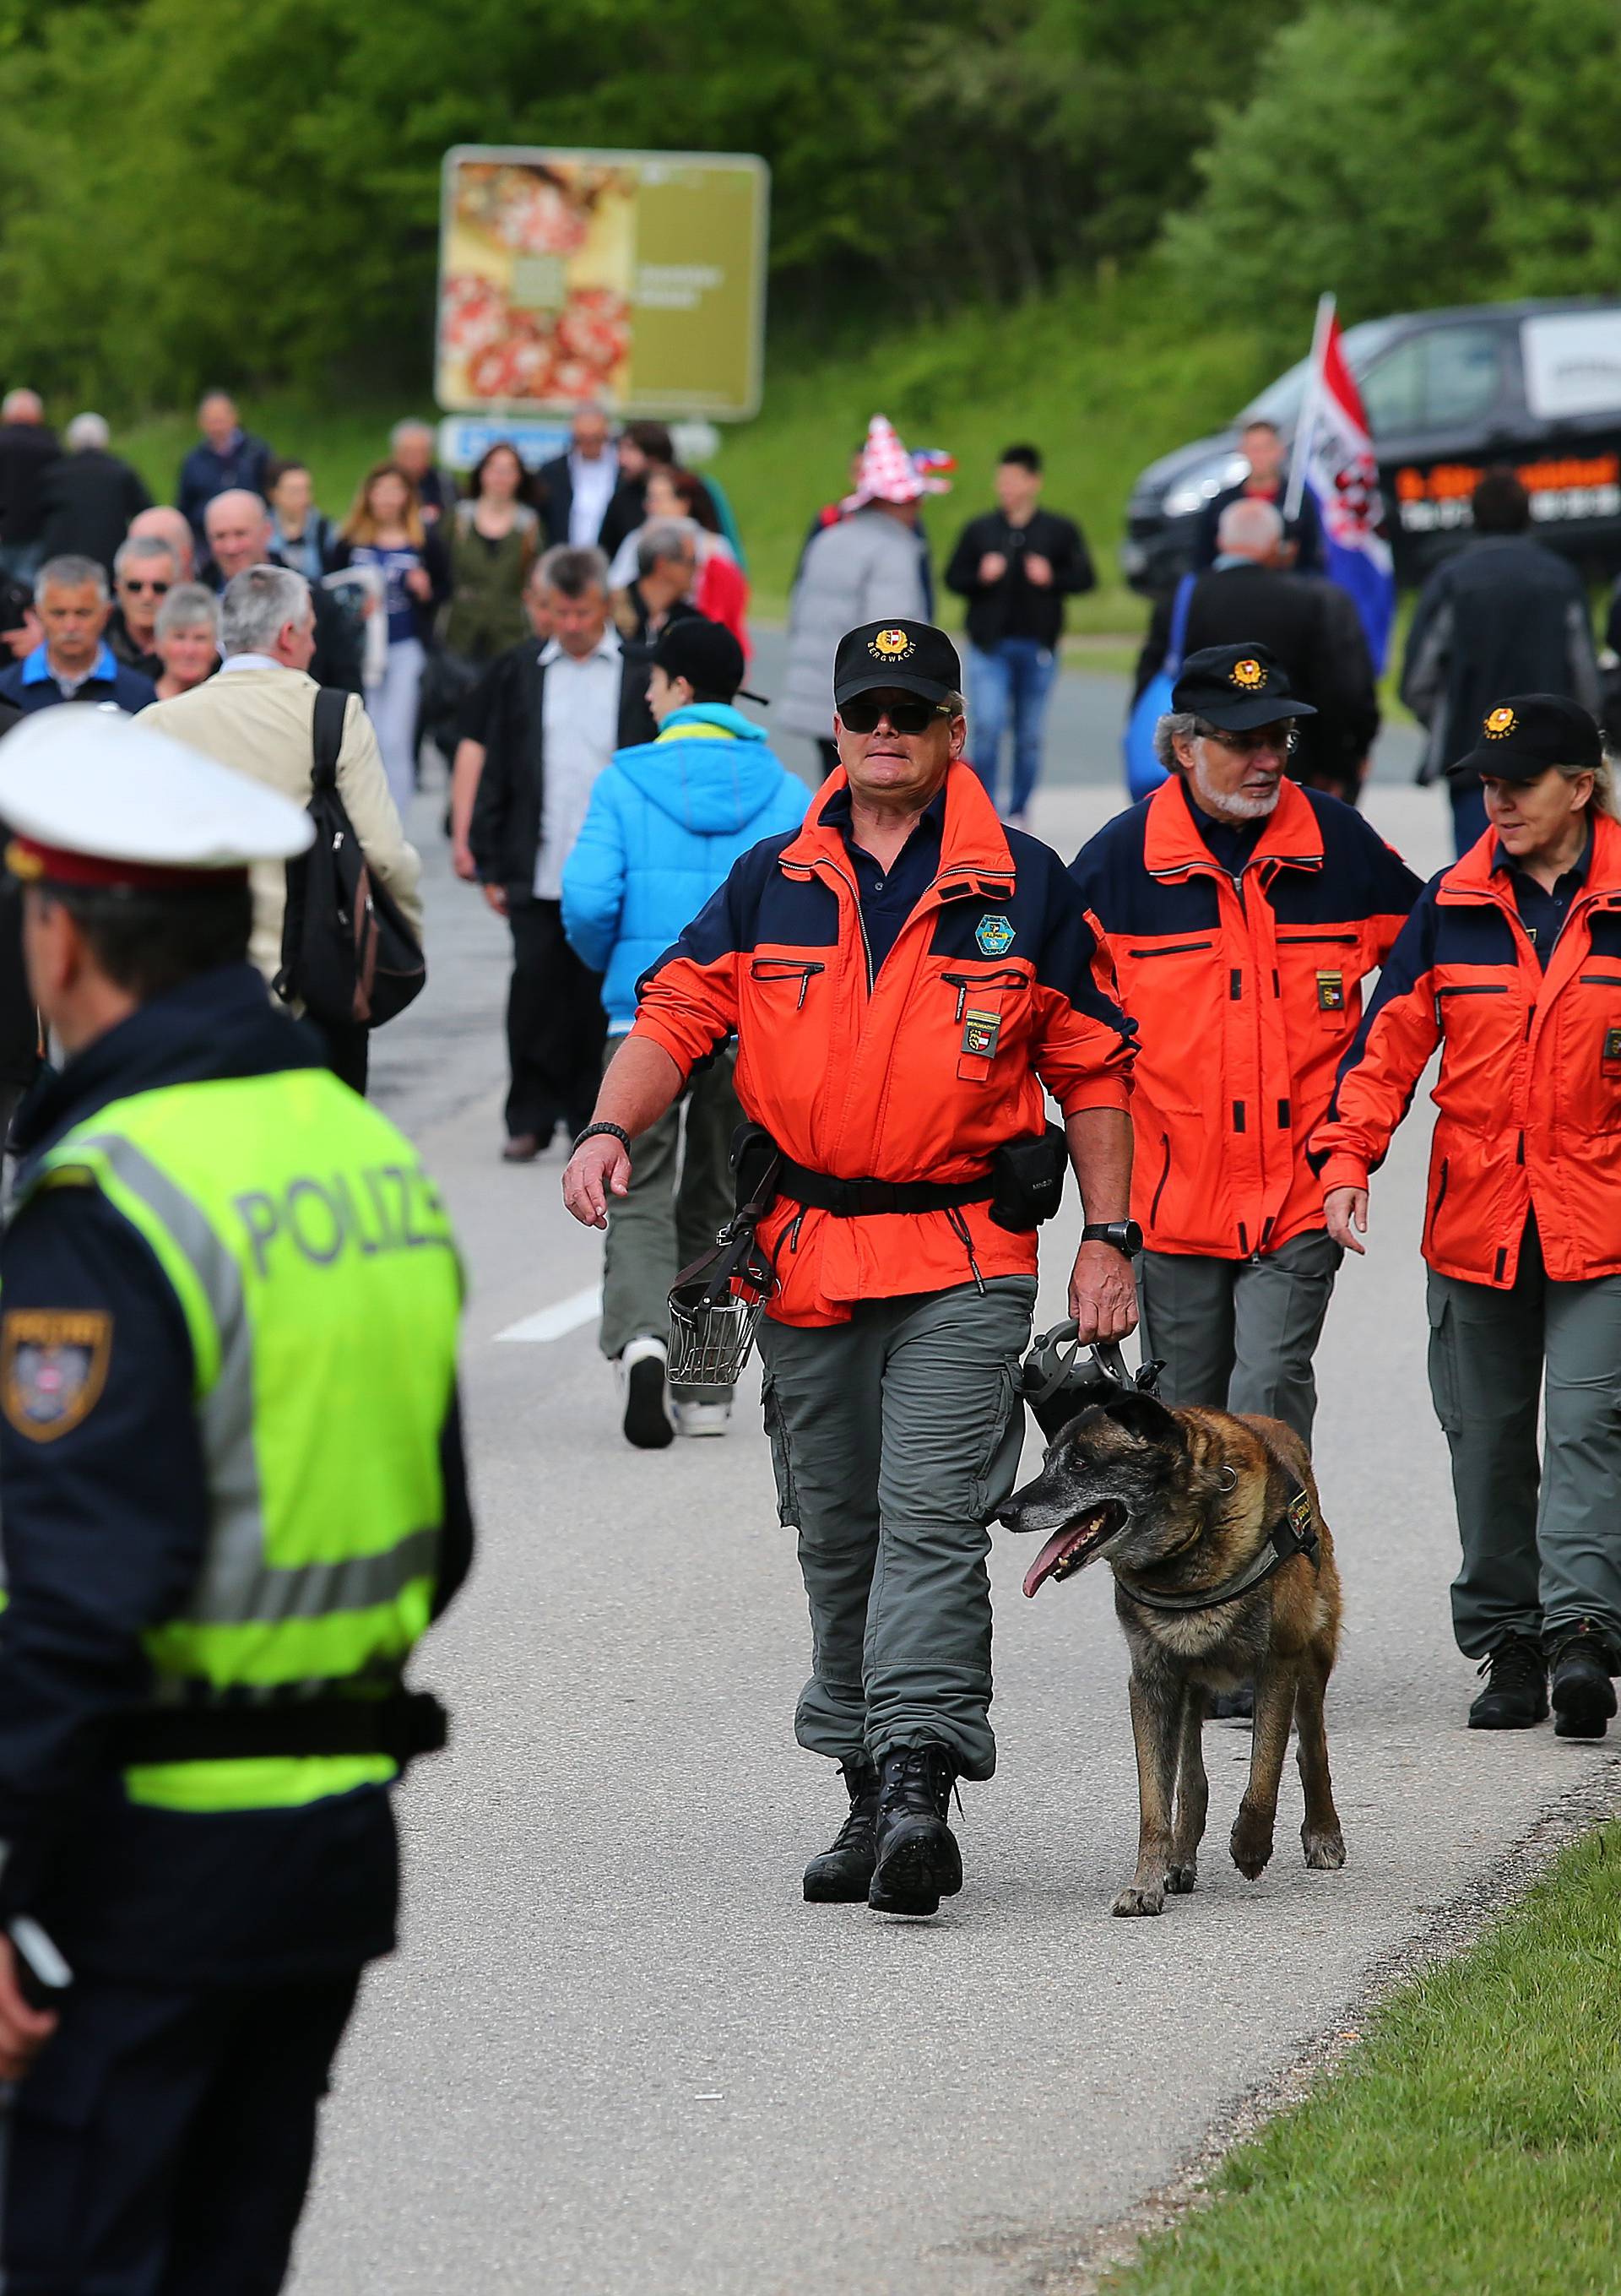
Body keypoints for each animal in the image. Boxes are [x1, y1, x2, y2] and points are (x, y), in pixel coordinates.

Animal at [996, 1387, 1341, 1910]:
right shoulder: (1152, 1682)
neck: (1189, 1545)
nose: (1005, 1513)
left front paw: (1251, 1845)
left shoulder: (1278, 1666)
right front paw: (1147, 1882)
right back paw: (1180, 1859)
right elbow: (1155, 1801)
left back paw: (1323, 1832)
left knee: (1310, 1748)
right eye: (1047, 1460)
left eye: (1080, 1463)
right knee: (1191, 1779)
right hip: (1189, 1689)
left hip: (1314, 1655)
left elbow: (1265, 1773)